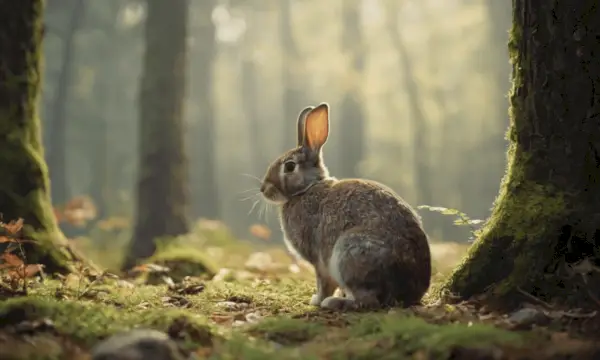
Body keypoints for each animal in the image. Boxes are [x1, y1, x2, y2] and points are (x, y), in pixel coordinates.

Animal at [258, 102, 432, 310]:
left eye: (290, 166)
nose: (263, 189)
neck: (307, 188)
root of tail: (408, 292)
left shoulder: (319, 259)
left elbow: (323, 282)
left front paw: (317, 300)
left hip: (349, 252)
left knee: (368, 301)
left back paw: (333, 302)